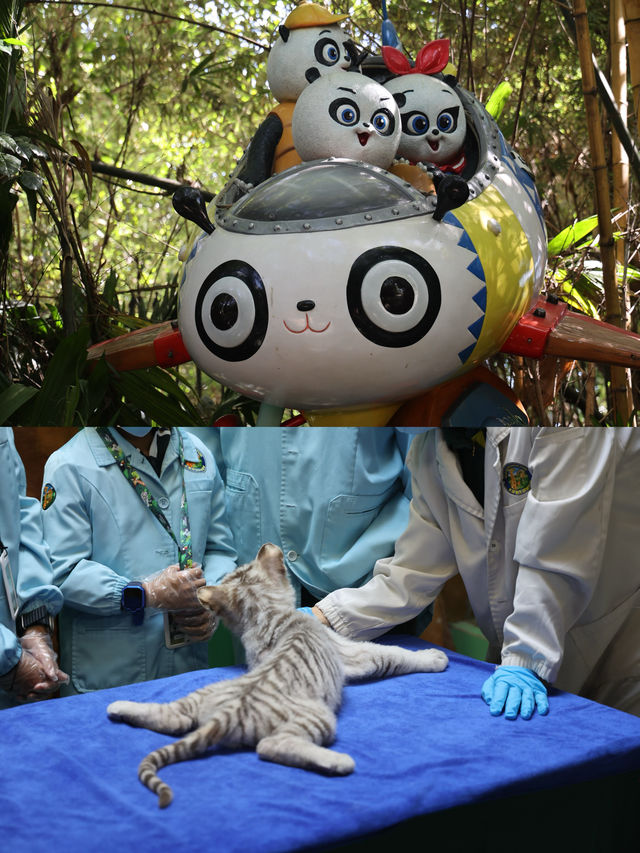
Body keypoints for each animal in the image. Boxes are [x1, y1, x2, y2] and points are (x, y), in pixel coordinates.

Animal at [107, 544, 448, 808]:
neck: (267, 613)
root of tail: (225, 717)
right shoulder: (355, 655)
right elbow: (394, 654)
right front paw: (434, 657)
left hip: (203, 695)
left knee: (173, 718)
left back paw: (118, 706)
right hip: (316, 718)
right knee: (270, 746)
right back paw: (339, 762)